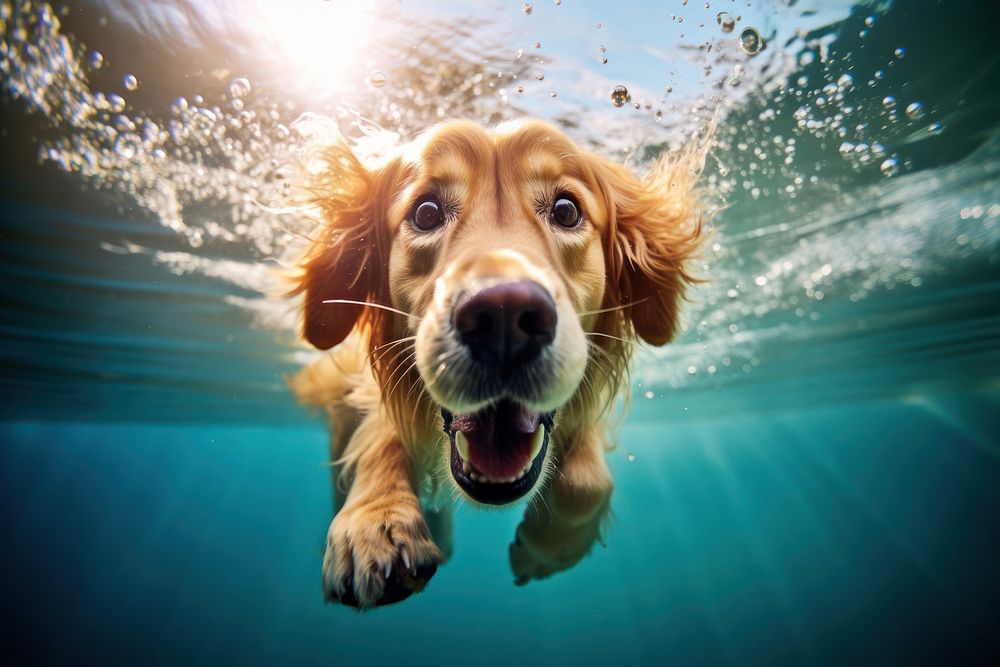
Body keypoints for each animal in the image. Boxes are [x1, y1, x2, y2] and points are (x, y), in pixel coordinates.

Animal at [286, 117, 700, 608]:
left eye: (566, 211)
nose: (503, 318)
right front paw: (376, 523)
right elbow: (383, 435)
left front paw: (546, 549)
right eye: (426, 213)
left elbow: (586, 481)